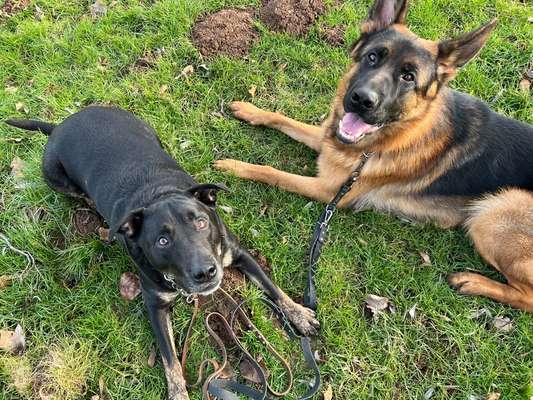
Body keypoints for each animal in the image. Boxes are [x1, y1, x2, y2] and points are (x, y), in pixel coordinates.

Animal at [6, 106, 318, 400]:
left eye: (201, 222)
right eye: (162, 241)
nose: (206, 273)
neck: (159, 194)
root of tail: (61, 124)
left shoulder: (238, 254)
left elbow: (274, 289)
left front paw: (300, 315)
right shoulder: (154, 305)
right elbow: (170, 361)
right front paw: (178, 392)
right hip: (56, 177)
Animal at [215, 0, 532, 312]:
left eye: (408, 77)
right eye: (372, 57)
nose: (362, 100)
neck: (387, 139)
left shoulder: (327, 191)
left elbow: (271, 172)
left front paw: (233, 166)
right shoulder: (328, 141)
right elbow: (283, 119)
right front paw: (251, 110)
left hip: (493, 213)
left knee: (526, 297)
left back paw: (471, 281)